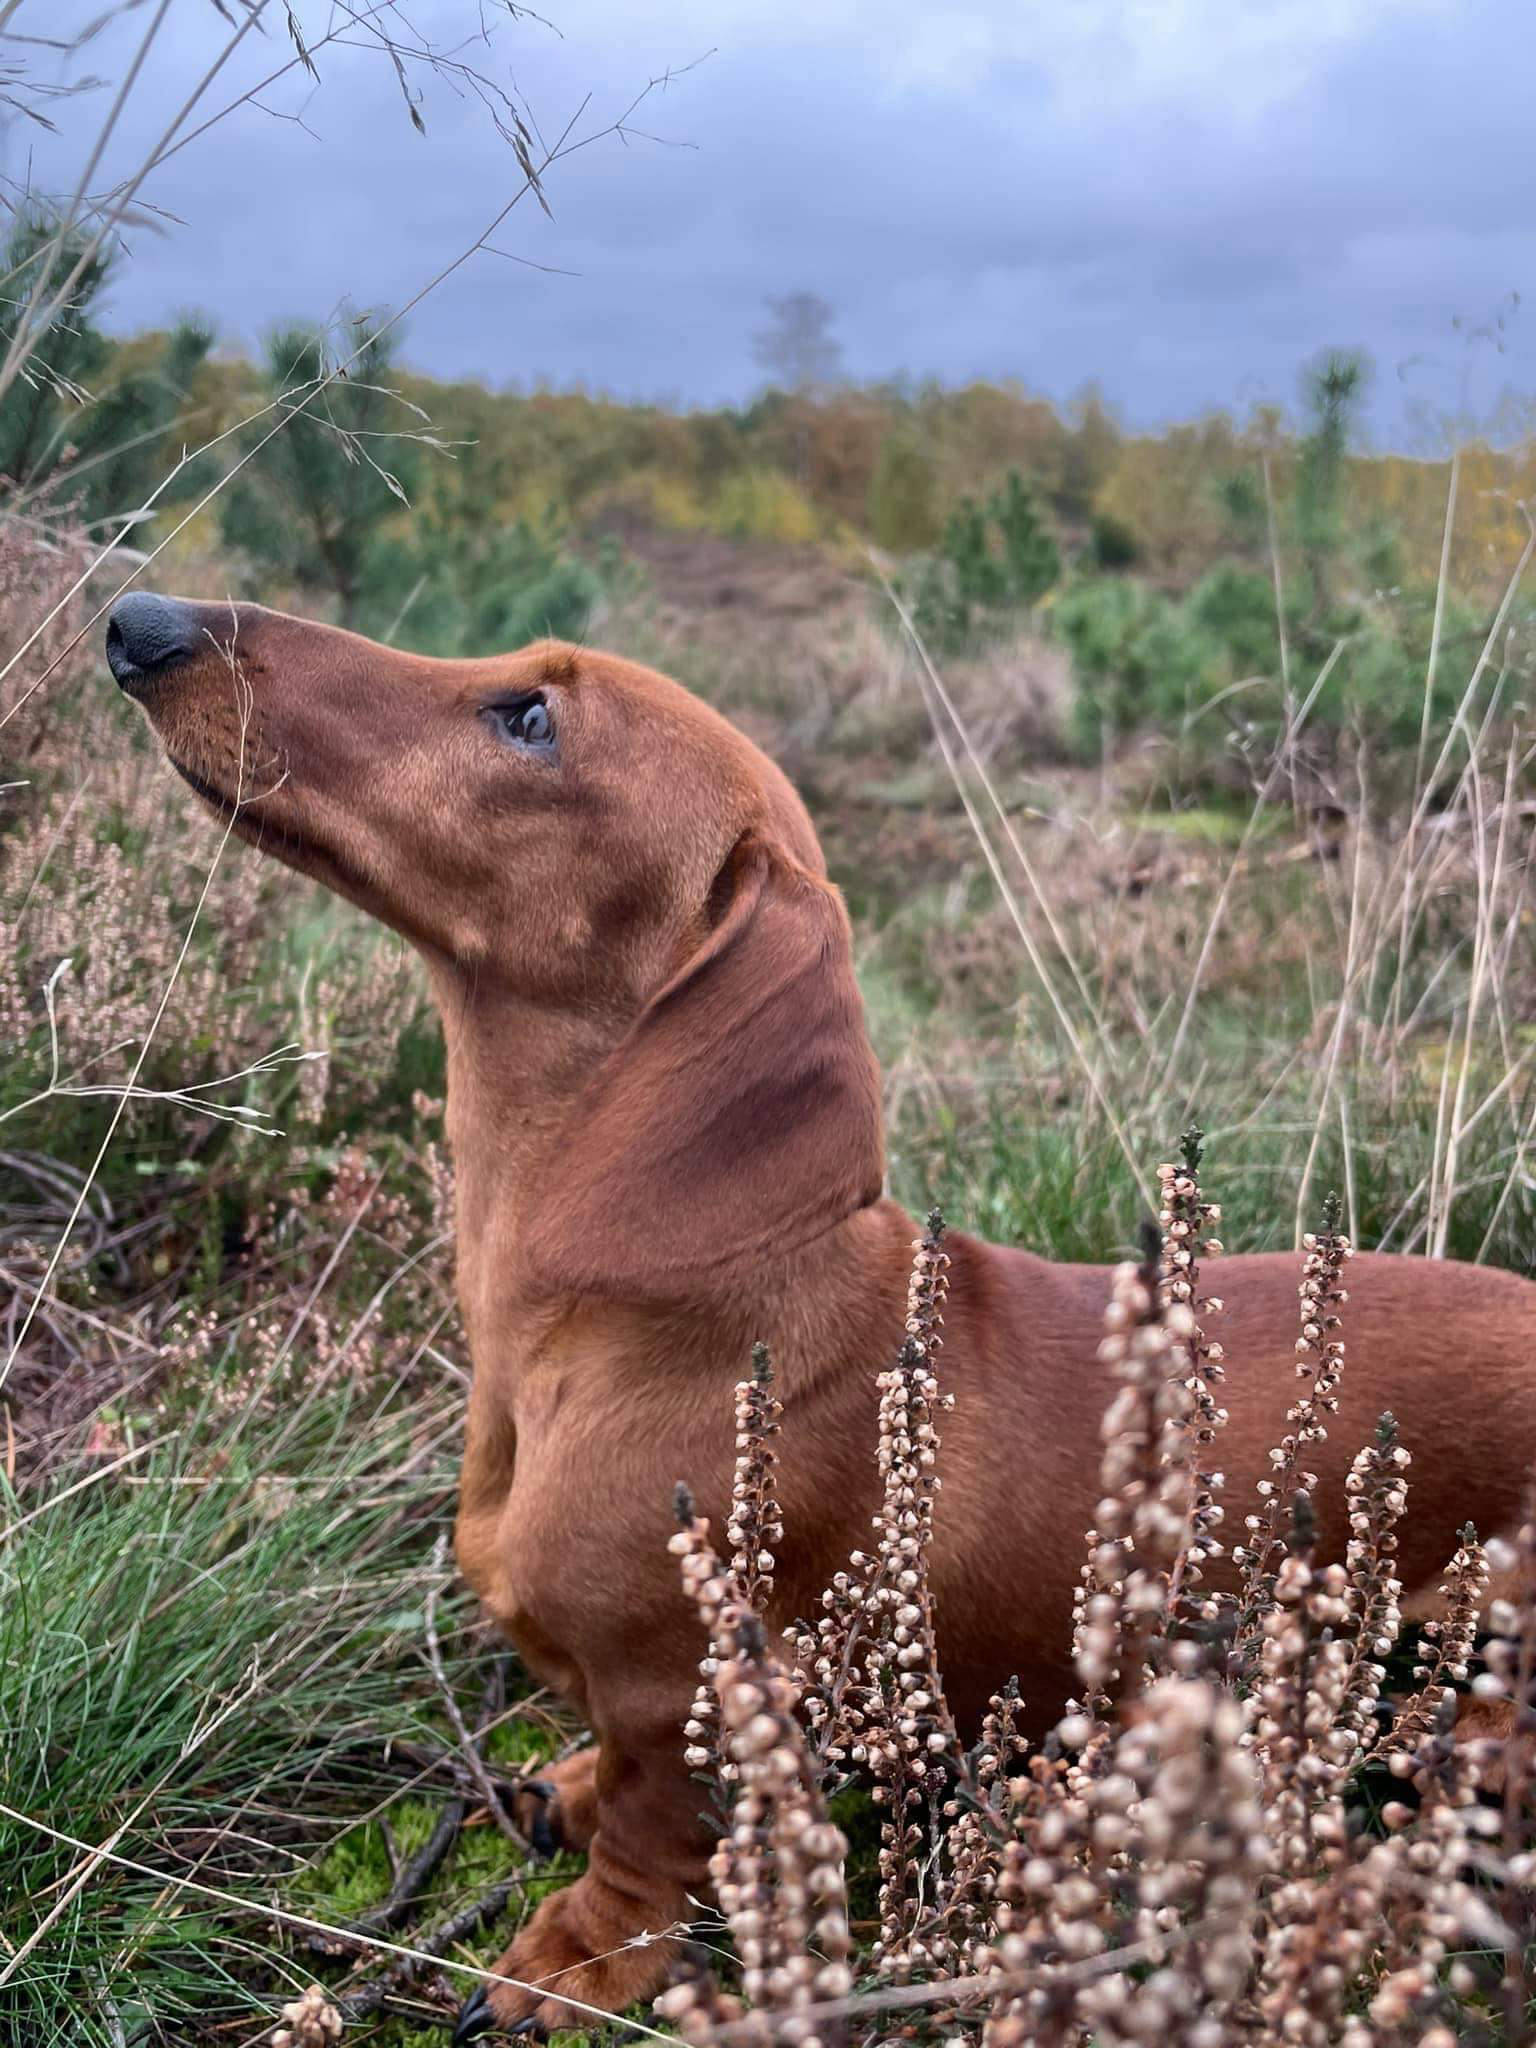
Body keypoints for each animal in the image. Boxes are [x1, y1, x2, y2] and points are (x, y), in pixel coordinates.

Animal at [107, 592, 1536, 2038]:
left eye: (532, 717)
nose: (140, 618)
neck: (617, 1334)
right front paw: (566, 1788)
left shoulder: (687, 1681)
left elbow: (652, 1826)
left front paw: (584, 1949)